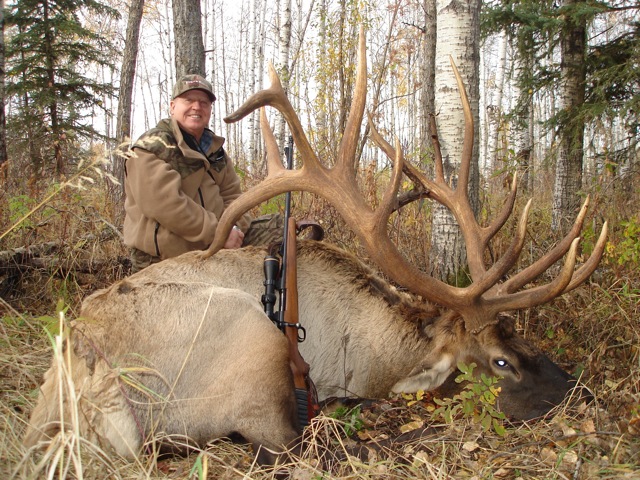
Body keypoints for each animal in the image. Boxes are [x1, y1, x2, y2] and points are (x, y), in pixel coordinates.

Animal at [24, 28, 607, 465]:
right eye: (500, 362)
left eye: (521, 336)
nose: (578, 390)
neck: (370, 353)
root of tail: (77, 373)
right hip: (249, 339)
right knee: (281, 443)